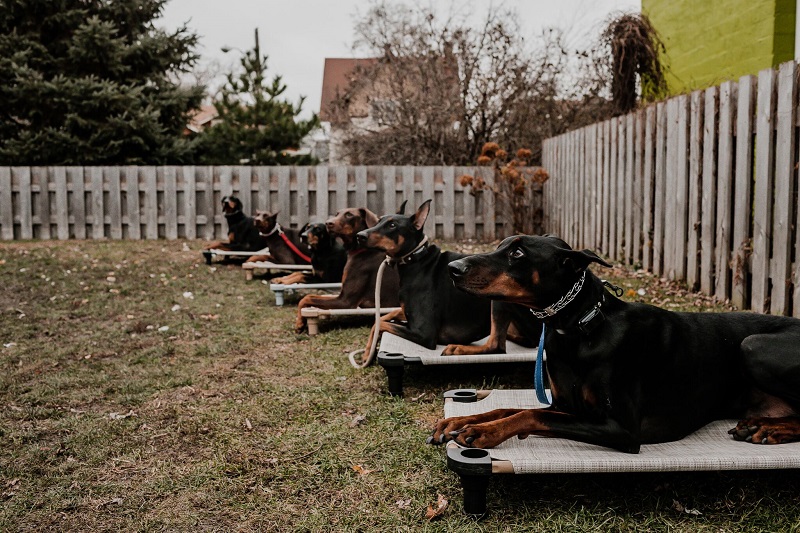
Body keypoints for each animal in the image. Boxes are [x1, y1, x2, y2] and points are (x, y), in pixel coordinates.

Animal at [356, 200, 494, 358]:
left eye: (392, 225)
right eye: (379, 221)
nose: (359, 235)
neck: (417, 260)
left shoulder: (424, 333)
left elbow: (382, 324)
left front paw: (368, 353)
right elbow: (383, 318)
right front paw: (369, 349)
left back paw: (457, 349)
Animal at [428, 235, 800, 450]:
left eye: (517, 253)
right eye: (501, 245)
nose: (453, 267)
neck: (580, 329)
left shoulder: (623, 429)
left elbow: (528, 415)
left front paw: (484, 432)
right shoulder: (568, 405)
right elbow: (510, 407)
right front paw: (460, 421)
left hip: (752, 345)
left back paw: (769, 430)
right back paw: (761, 424)